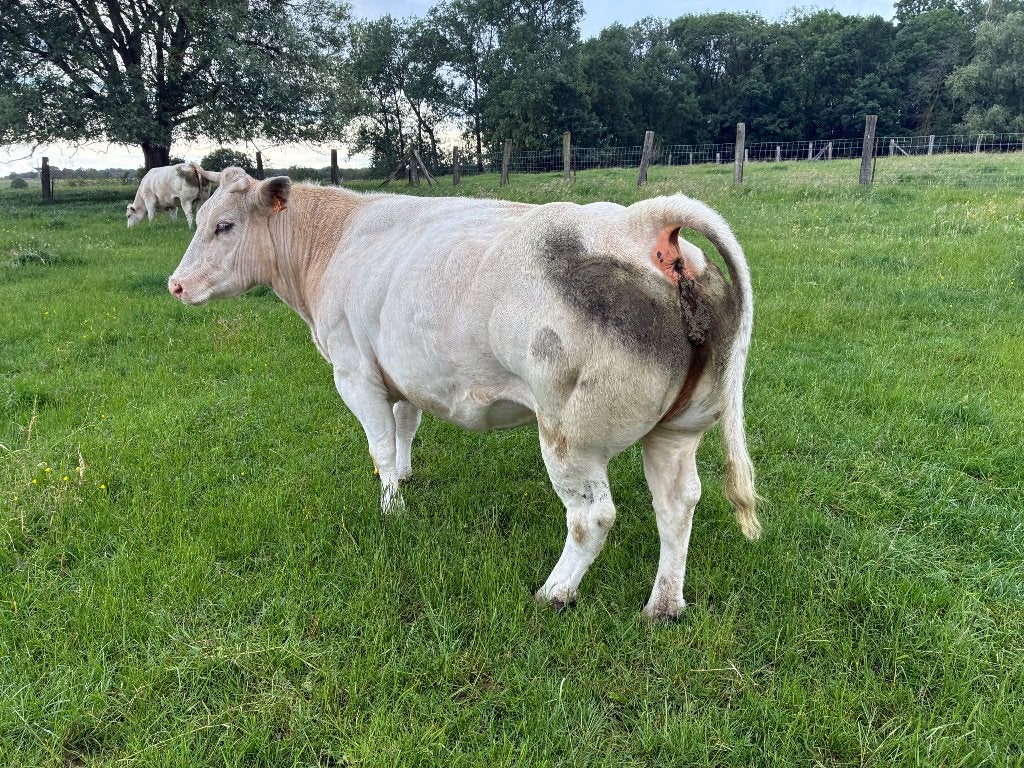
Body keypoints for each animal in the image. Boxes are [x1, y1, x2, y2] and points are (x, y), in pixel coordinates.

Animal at [168, 167, 760, 619]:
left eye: (224, 225)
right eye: (201, 219)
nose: (175, 285)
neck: (331, 243)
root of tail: (639, 222)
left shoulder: (355, 374)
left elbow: (380, 446)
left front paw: (391, 508)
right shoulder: (403, 373)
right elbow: (405, 428)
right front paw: (406, 478)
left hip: (571, 435)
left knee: (592, 517)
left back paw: (555, 591)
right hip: (679, 429)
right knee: (678, 504)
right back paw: (663, 605)